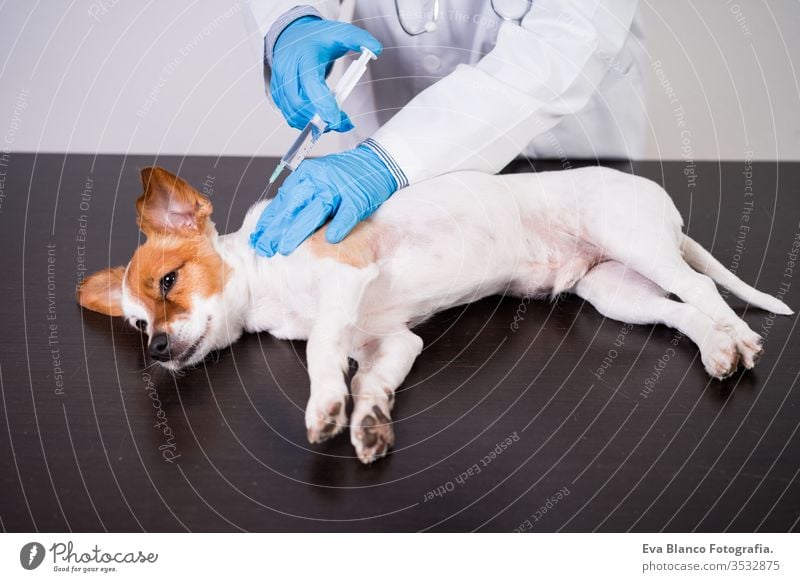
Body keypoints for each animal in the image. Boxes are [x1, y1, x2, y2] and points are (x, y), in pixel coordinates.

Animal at [78, 168, 792, 466]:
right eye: (137, 324)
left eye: (170, 282)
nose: (154, 349)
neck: (270, 287)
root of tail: (662, 205)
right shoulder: (388, 342)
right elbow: (370, 381)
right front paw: (366, 422)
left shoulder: (346, 276)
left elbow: (318, 354)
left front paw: (325, 407)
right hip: (615, 290)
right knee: (680, 314)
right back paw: (719, 349)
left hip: (636, 244)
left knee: (702, 288)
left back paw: (739, 335)